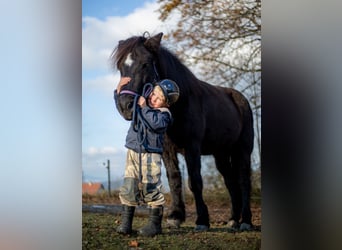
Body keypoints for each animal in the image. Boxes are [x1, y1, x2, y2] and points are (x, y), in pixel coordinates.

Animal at [112, 32, 254, 231]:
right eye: (120, 67)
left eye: (146, 63)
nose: (125, 106)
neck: (181, 102)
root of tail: (240, 98)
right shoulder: (167, 149)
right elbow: (174, 179)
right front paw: (176, 216)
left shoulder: (191, 147)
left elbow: (194, 182)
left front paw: (202, 220)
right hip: (221, 154)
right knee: (231, 182)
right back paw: (234, 220)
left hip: (243, 150)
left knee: (243, 181)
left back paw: (246, 221)